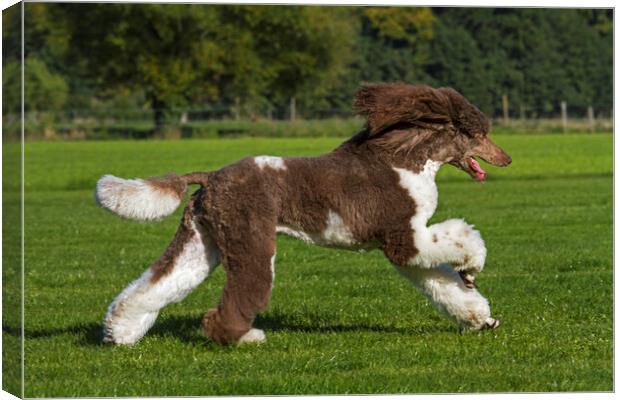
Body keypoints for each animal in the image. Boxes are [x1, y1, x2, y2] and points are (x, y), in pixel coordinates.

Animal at [97, 83, 512, 344]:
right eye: (479, 135)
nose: (506, 158)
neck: (403, 159)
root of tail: (211, 177)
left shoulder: (408, 247)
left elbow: (444, 285)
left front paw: (480, 318)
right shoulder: (403, 238)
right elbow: (465, 240)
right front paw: (471, 267)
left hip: (202, 243)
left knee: (153, 286)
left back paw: (121, 334)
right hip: (252, 243)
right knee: (230, 304)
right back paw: (245, 337)